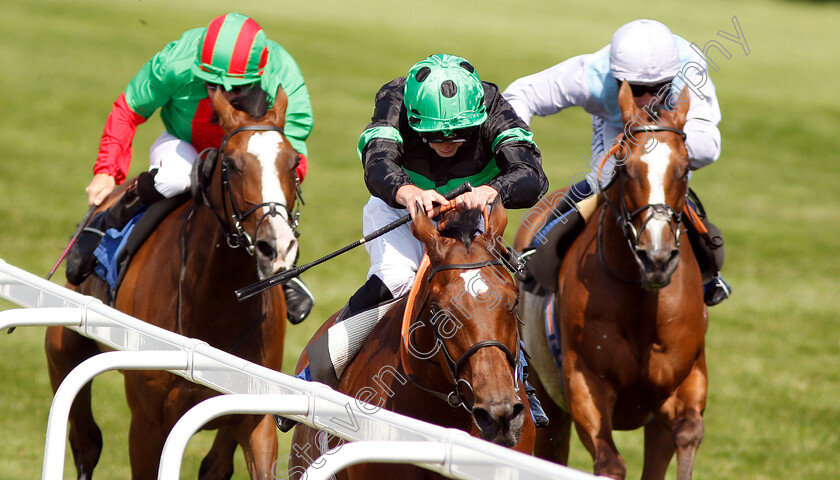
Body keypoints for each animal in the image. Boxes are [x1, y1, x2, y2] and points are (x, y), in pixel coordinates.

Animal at [45, 87, 302, 480]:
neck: (217, 308)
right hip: (62, 348)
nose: (276, 245)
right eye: (231, 164)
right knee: (86, 441)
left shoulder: (254, 419)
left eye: (293, 162)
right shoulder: (148, 422)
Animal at [512, 80, 708, 478]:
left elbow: (689, 431)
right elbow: (609, 462)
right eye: (627, 168)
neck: (641, 298)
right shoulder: (584, 383)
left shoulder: (685, 379)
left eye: (684, 170)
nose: (656, 257)